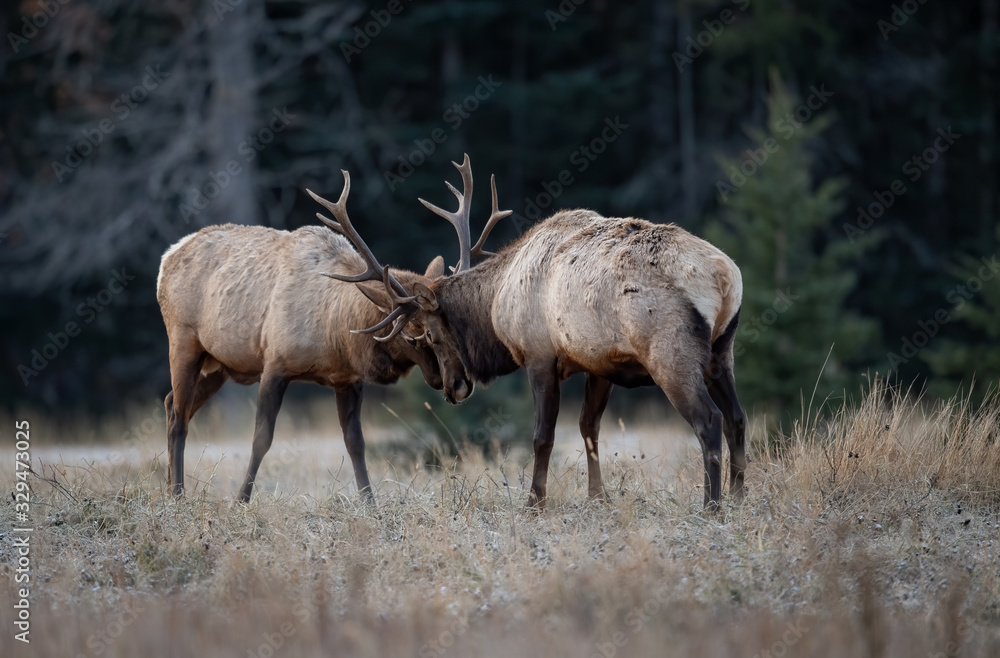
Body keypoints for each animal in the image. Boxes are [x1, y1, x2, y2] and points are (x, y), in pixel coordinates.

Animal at [156, 172, 473, 503]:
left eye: (450, 327)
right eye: (415, 334)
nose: (459, 385)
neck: (337, 335)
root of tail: (167, 258)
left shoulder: (348, 380)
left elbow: (356, 442)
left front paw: (370, 501)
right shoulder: (275, 364)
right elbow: (261, 439)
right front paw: (241, 498)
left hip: (218, 364)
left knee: (170, 403)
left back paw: (170, 486)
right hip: (183, 341)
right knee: (178, 417)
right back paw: (177, 493)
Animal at [337, 155, 748, 511]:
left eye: (429, 336)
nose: (453, 389)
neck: (497, 302)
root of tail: (725, 275)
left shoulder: (539, 356)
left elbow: (542, 436)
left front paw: (534, 503)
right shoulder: (600, 363)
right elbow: (588, 428)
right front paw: (597, 497)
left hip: (669, 351)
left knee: (708, 420)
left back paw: (712, 505)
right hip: (722, 350)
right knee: (737, 417)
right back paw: (739, 496)